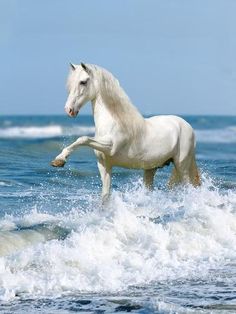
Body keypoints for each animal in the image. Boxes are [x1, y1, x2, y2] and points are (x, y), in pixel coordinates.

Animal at [51, 62, 199, 202]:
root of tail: (186, 125)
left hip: (182, 166)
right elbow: (105, 196)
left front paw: (59, 160)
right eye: (70, 83)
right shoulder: (104, 166)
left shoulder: (110, 146)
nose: (69, 110)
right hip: (151, 168)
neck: (112, 121)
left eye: (83, 82)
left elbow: (83, 139)